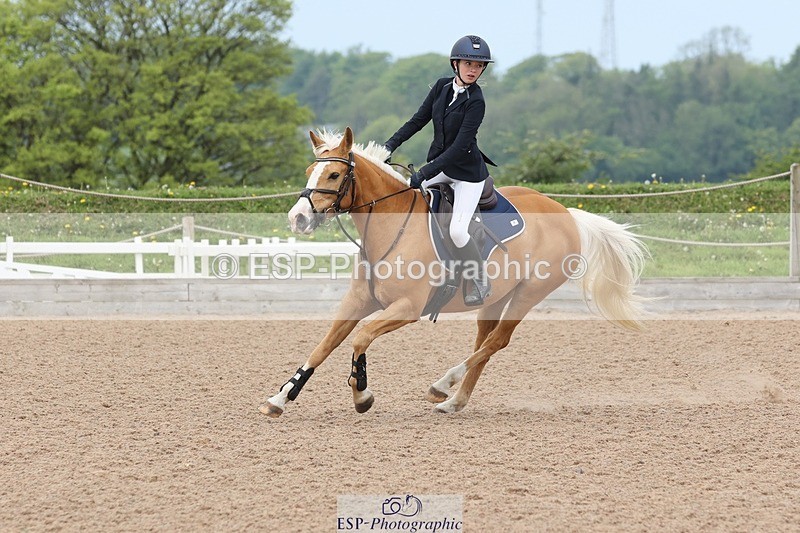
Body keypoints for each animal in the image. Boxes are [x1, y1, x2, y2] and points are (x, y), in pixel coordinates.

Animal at [260, 127, 647, 417]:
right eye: (309, 172)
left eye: (335, 174)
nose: (297, 219)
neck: (392, 227)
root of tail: (567, 212)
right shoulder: (357, 302)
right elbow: (324, 346)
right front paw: (280, 398)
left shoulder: (407, 308)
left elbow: (360, 338)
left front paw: (362, 395)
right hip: (497, 296)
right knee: (486, 341)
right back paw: (455, 401)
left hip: (529, 293)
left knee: (498, 341)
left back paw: (442, 385)